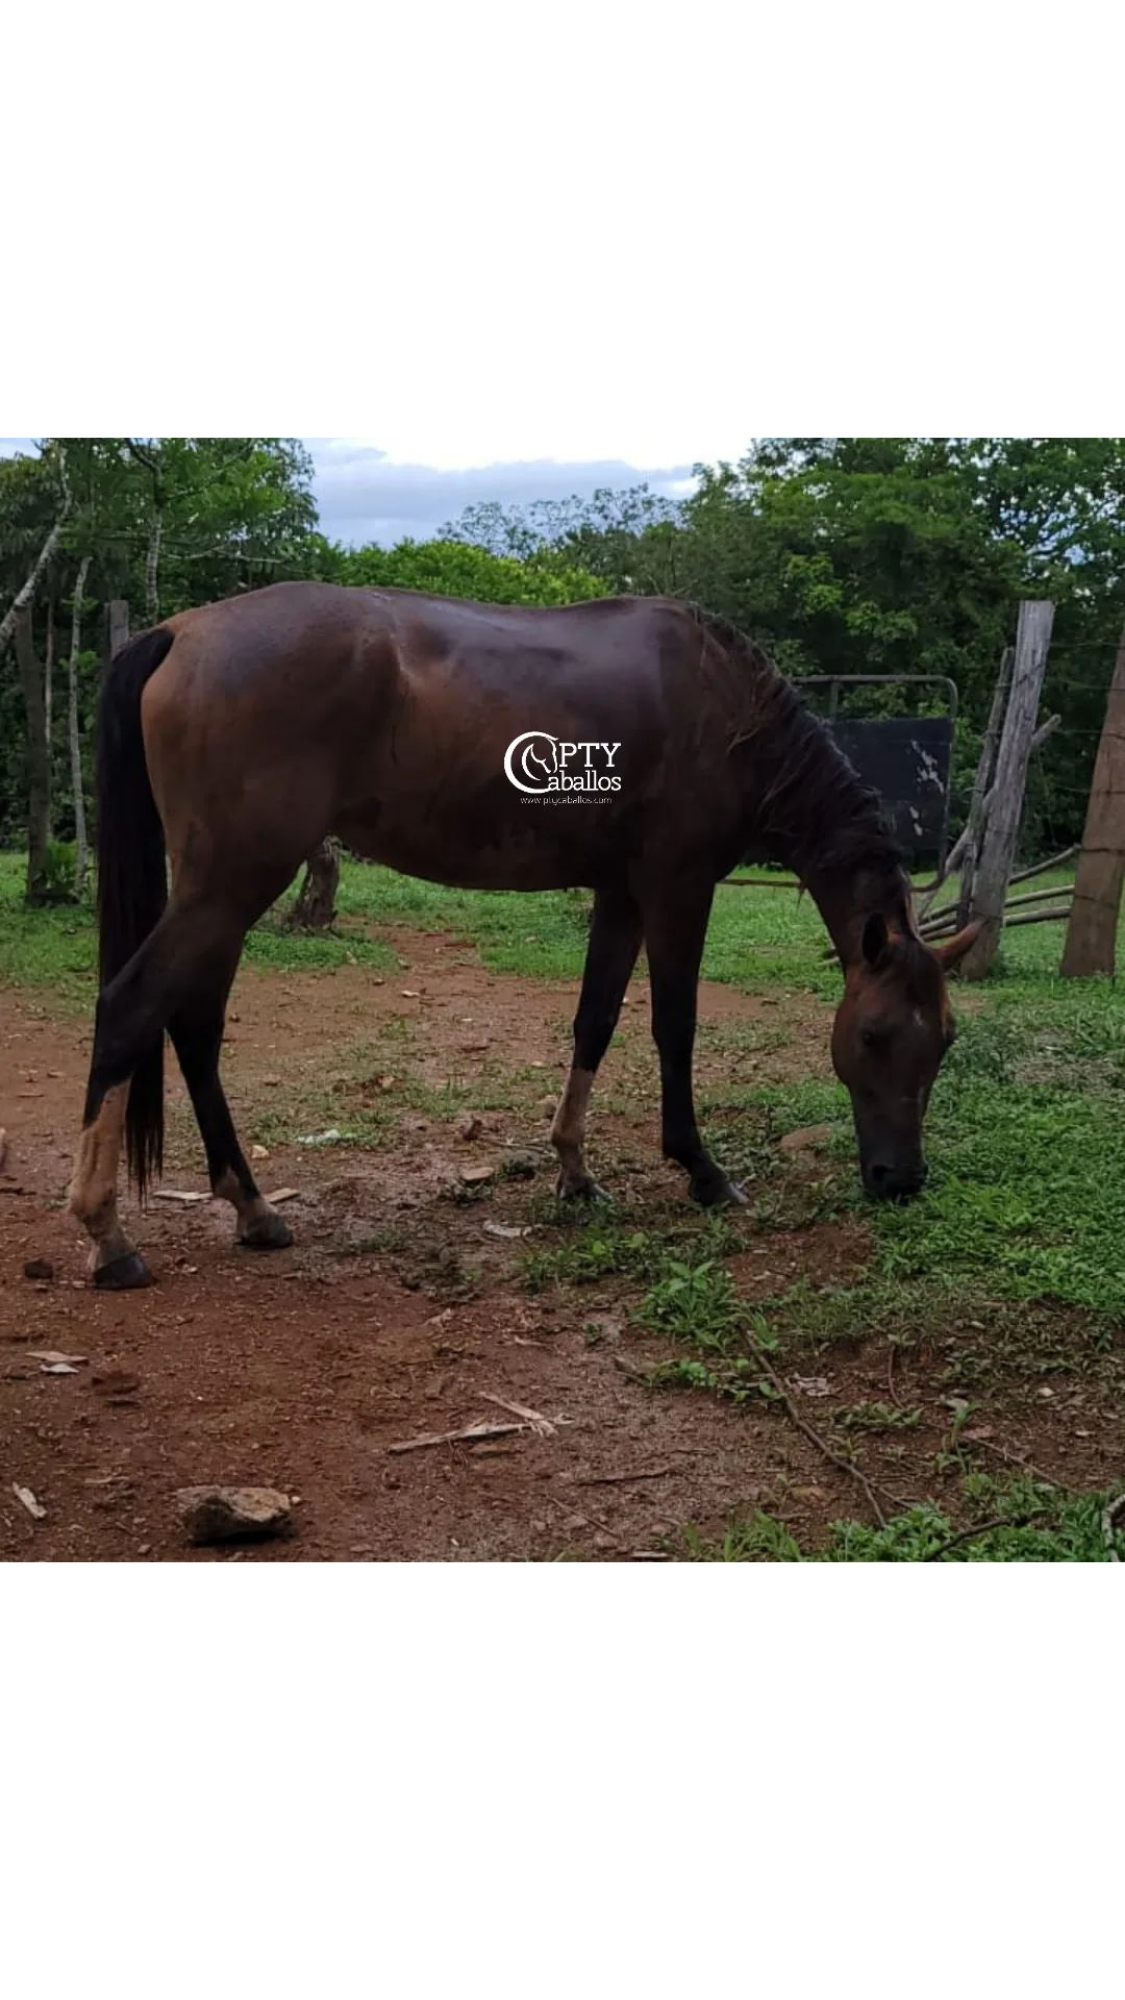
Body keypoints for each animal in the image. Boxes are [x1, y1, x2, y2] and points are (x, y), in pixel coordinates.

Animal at [69, 582, 979, 1288]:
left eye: (944, 1041)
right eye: (872, 1034)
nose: (900, 1179)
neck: (723, 707)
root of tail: (180, 631)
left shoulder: (619, 893)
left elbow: (595, 1021)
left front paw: (574, 1171)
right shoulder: (677, 888)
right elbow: (673, 1026)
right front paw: (700, 1170)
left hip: (221, 894)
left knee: (192, 1026)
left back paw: (253, 1208)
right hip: (229, 885)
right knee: (129, 1008)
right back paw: (109, 1237)